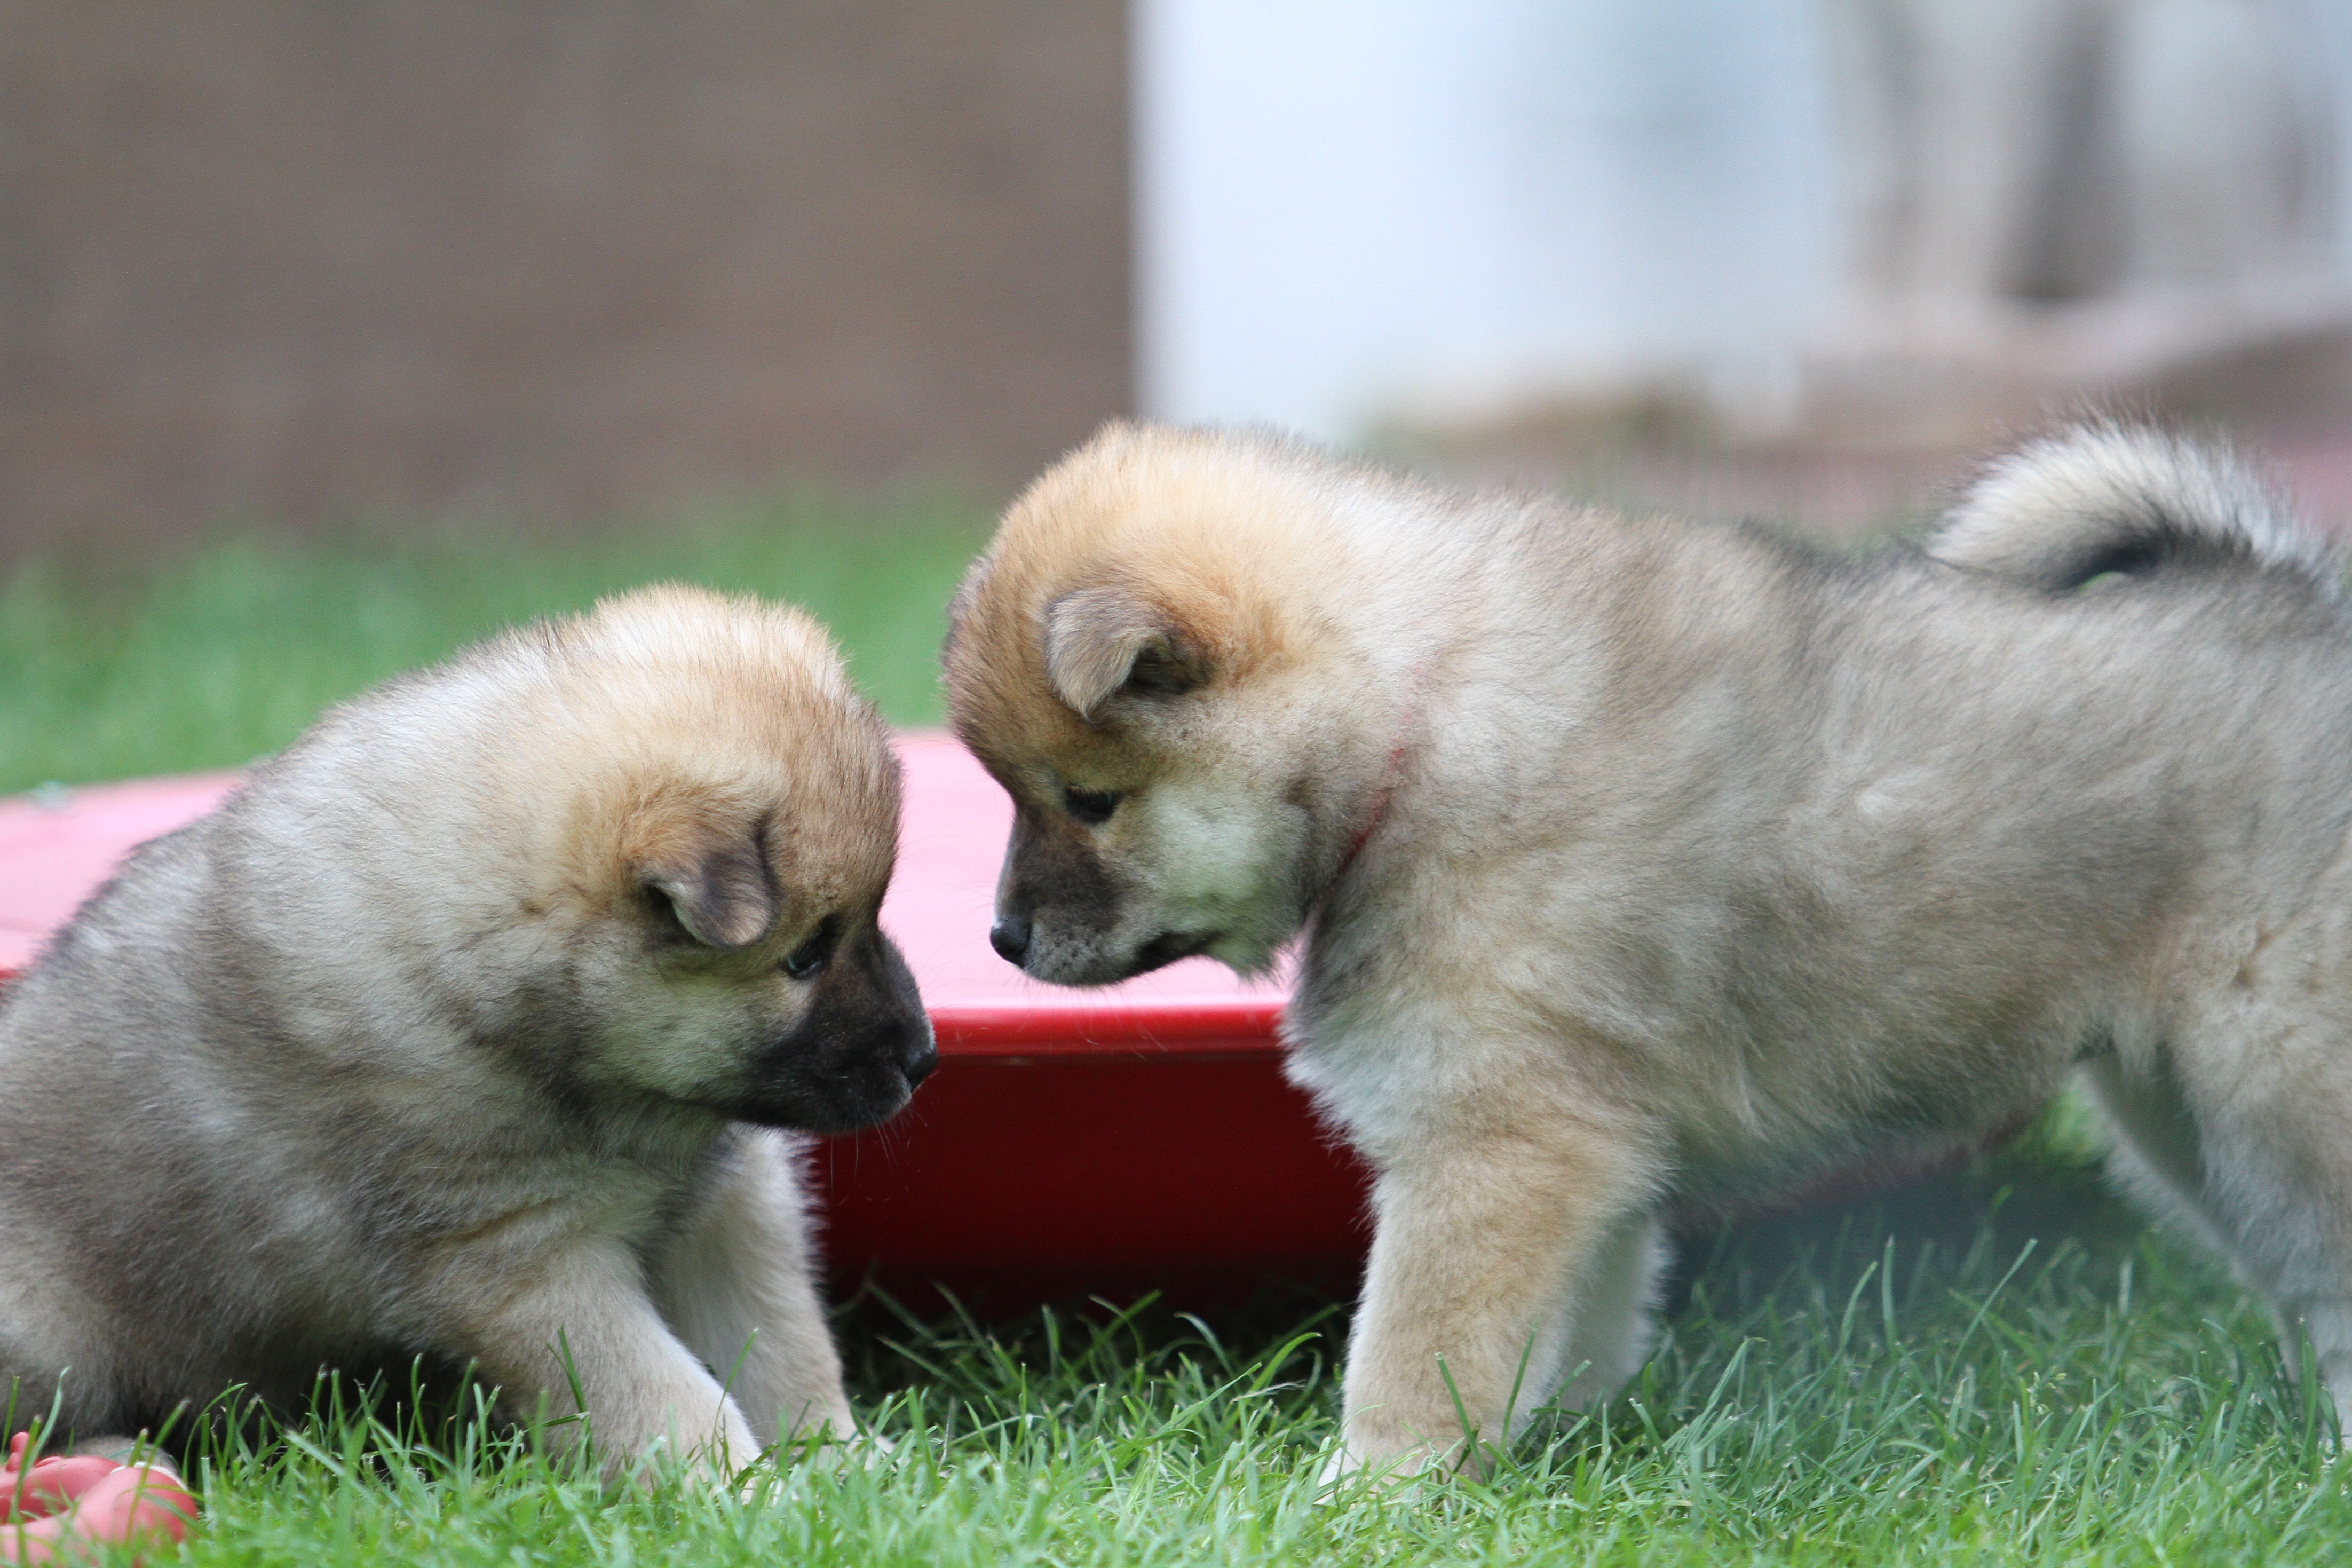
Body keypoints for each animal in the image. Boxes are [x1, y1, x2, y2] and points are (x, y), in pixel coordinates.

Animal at [0, 585, 936, 1485]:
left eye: (873, 916)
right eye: (806, 954)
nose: (923, 1058)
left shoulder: (728, 1202)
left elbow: (781, 1343)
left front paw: (843, 1459)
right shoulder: (525, 1260)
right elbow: (660, 1396)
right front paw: (744, 1494)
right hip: (45, 1323)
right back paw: (119, 1461)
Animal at [945, 423, 2352, 1476]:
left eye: (1085, 799)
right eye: (1010, 792)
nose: (1003, 936)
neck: (1411, 722)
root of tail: (2296, 615)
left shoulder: (1495, 1143)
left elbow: (1410, 1349)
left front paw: (1366, 1490)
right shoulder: (1584, 1147)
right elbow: (1571, 1319)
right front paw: (1556, 1443)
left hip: (2272, 1081)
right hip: (2176, 1117)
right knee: (2302, 1271)